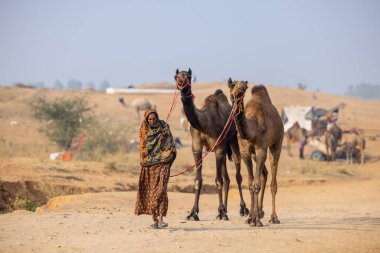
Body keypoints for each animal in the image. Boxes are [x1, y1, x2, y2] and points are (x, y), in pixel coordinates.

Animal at [175, 68, 249, 220]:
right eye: (177, 76)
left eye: (188, 76)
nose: (181, 82)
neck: (203, 122)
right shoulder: (196, 147)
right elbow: (198, 179)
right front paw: (193, 212)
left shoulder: (219, 147)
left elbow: (218, 180)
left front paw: (220, 211)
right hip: (224, 148)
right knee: (227, 178)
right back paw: (226, 209)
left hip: (233, 139)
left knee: (237, 173)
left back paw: (242, 209)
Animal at [227, 78, 284, 226]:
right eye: (231, 85)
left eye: (244, 88)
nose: (239, 90)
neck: (251, 131)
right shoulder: (245, 152)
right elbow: (250, 184)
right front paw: (250, 218)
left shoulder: (261, 149)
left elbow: (255, 185)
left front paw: (256, 220)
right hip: (254, 155)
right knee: (264, 174)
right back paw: (260, 211)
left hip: (277, 142)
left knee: (273, 182)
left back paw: (273, 217)